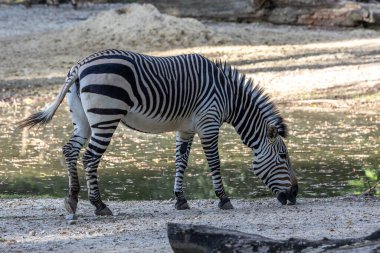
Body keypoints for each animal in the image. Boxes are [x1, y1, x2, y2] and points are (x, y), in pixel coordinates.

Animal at [19, 49, 298, 215]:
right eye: (283, 157)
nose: (295, 195)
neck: (228, 96)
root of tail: (79, 65)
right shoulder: (209, 123)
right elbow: (214, 163)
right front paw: (224, 199)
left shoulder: (186, 129)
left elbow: (181, 162)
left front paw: (180, 200)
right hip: (106, 116)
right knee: (89, 158)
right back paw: (99, 205)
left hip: (83, 119)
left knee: (69, 150)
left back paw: (72, 199)